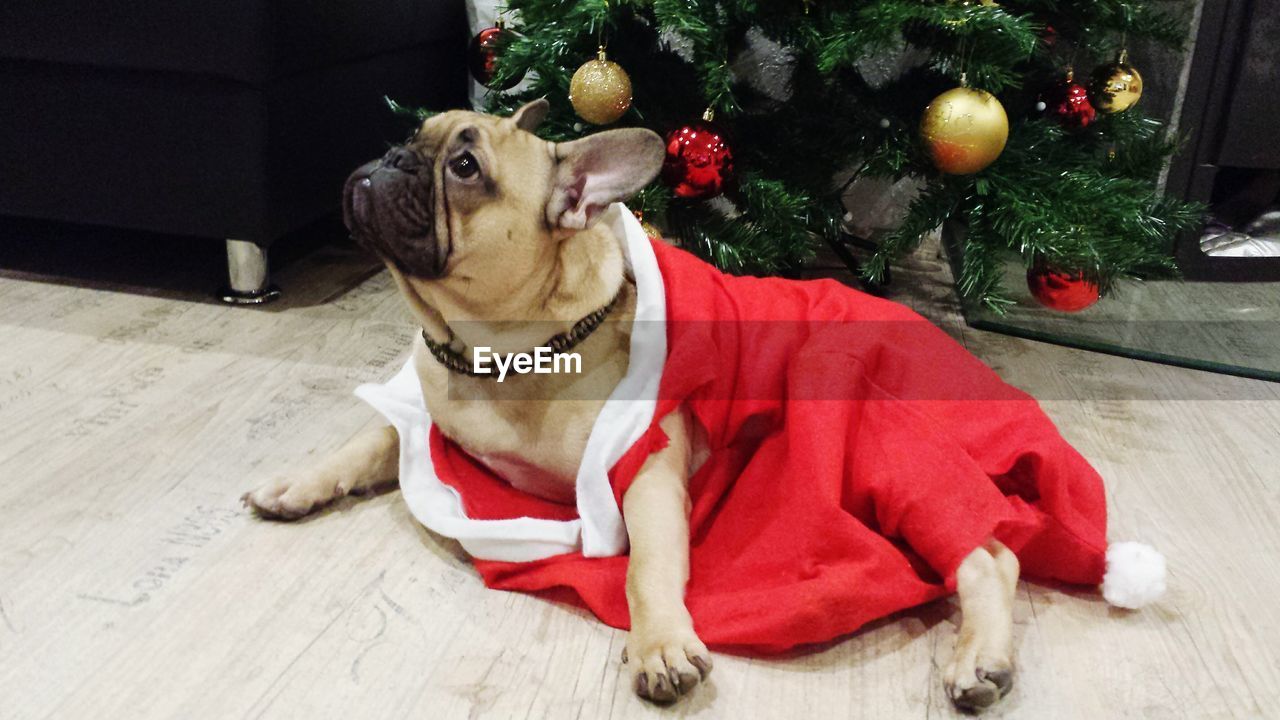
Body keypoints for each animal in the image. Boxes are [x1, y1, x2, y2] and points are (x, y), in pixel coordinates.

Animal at [244, 99, 1167, 707]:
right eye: (411, 137)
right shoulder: (429, 419)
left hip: (887, 444)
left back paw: (978, 660)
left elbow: (649, 567)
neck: (495, 352)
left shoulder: (646, 465)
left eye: (465, 168)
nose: (389, 158)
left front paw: (660, 645)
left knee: (990, 550)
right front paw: (296, 482)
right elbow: (367, 441)